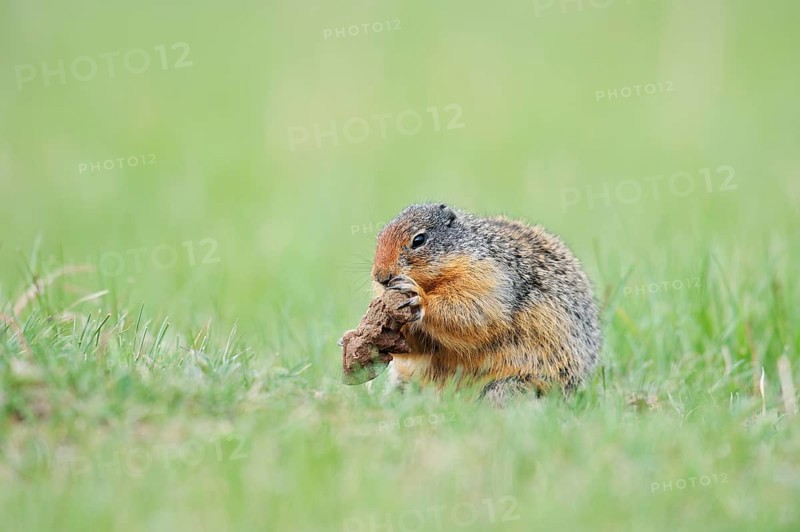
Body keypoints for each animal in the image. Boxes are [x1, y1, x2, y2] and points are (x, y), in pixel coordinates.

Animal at [370, 203, 601, 405]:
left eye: (419, 240)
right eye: (379, 237)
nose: (380, 277)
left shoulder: (486, 276)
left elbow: (473, 310)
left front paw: (419, 299)